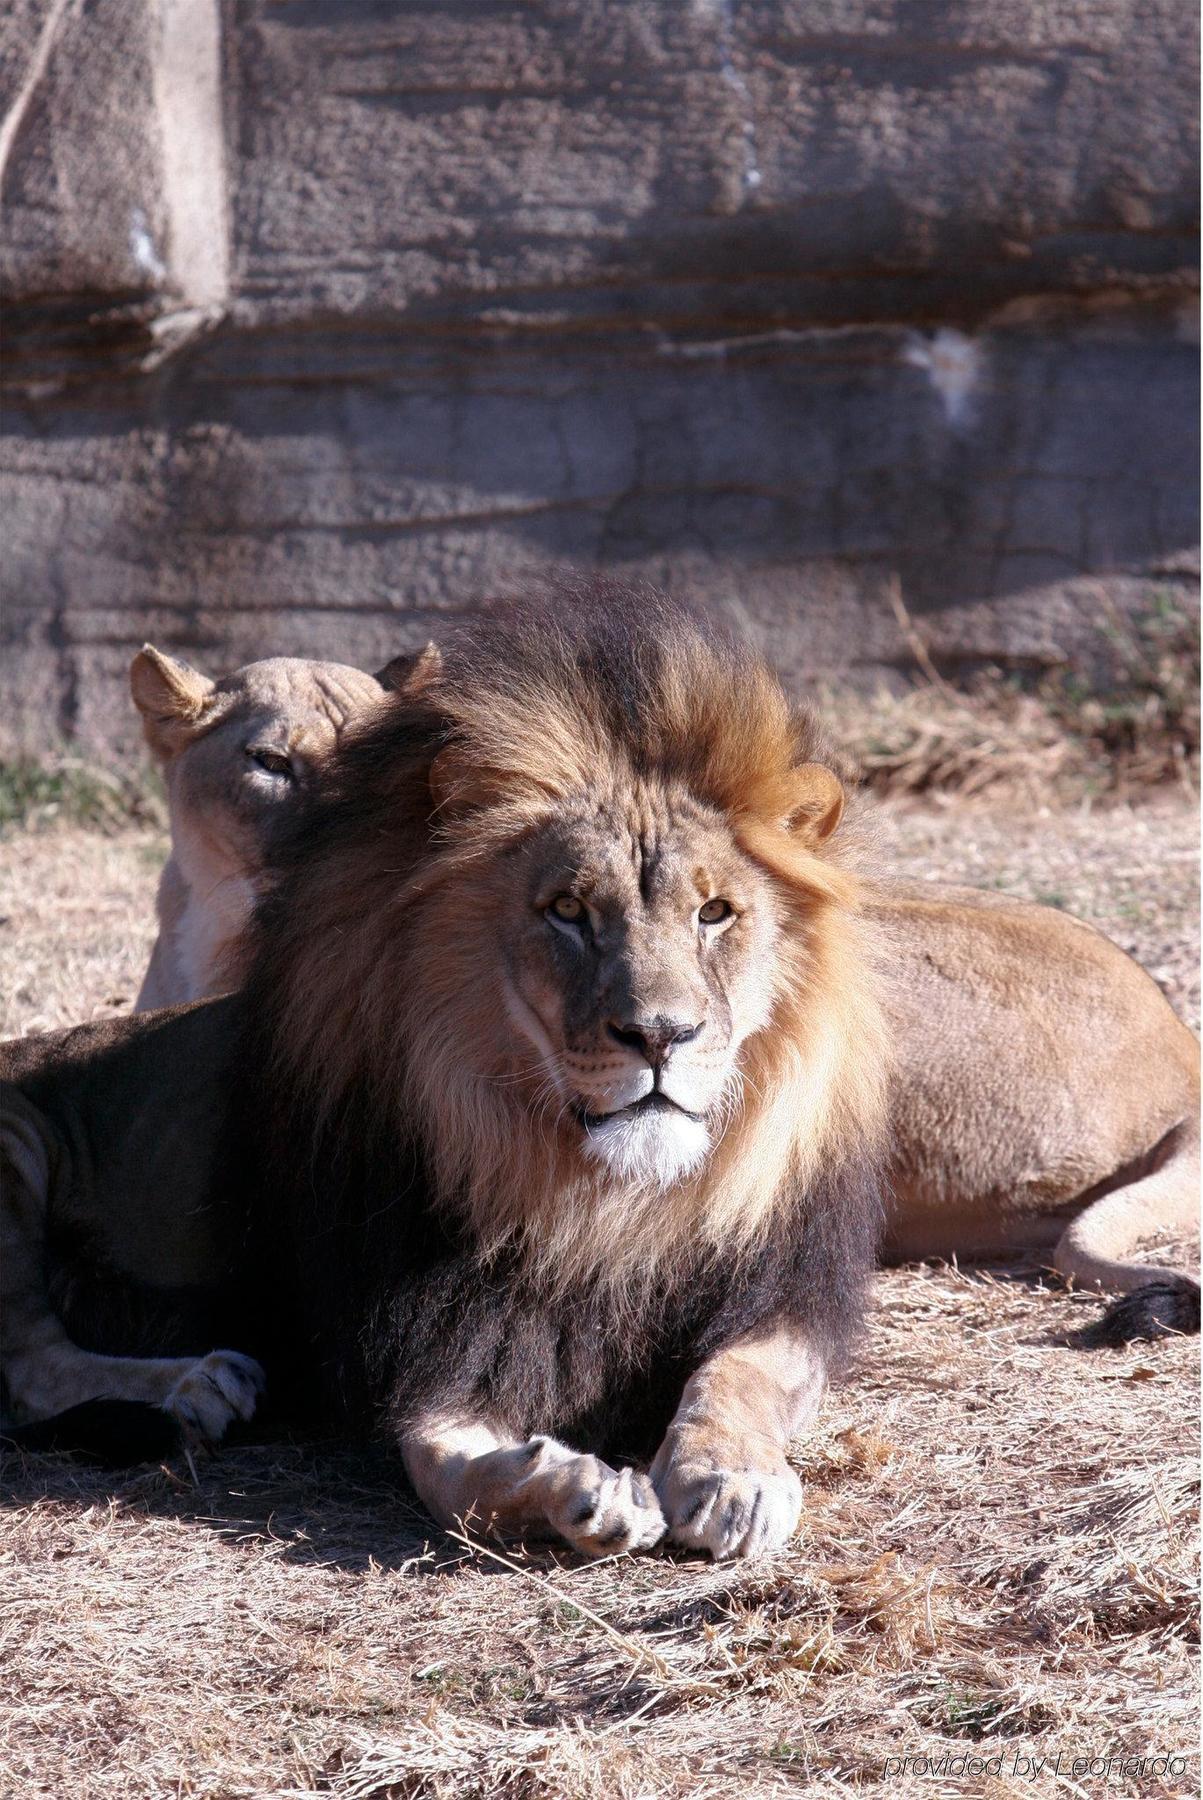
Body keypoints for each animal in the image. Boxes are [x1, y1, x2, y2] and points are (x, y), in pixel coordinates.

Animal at [0, 594, 889, 1562]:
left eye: (715, 912)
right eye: (567, 911)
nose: (660, 1036)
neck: (598, 1200)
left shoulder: (779, 1294)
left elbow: (744, 1374)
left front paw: (733, 1474)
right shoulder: (423, 1342)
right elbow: (451, 1475)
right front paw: (573, 1490)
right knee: (31, 1359)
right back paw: (197, 1382)